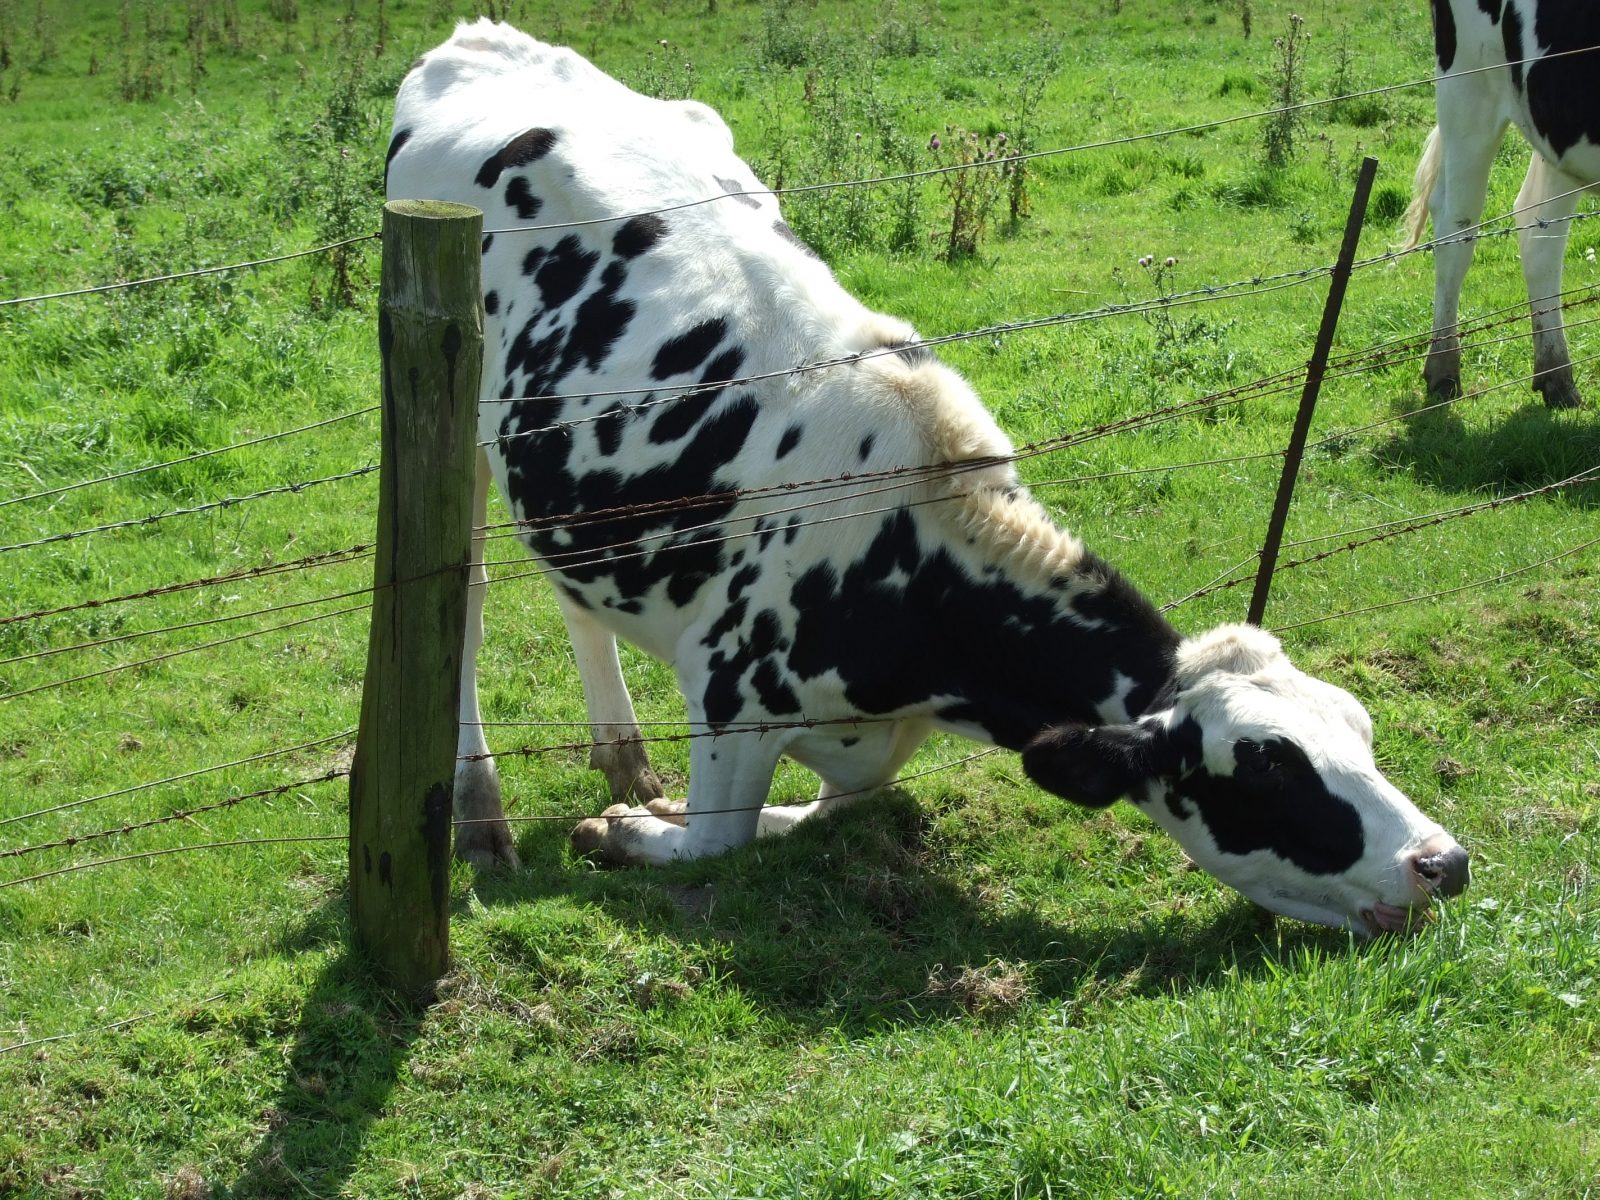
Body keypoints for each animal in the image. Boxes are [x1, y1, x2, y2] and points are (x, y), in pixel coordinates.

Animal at [384, 21, 1465, 940]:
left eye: (1362, 731)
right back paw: (481, 813)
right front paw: (619, 832)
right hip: (457, 416)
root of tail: (479, 37)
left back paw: (620, 754)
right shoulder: (730, 696)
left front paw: (646, 804)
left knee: (572, 592)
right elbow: (714, 841)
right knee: (462, 589)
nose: (1442, 861)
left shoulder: (862, 740)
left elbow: (834, 807)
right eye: (1269, 775)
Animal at [1414, 0, 1600, 409]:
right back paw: (1443, 370)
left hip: (1557, 130)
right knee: (1456, 228)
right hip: (1468, 90)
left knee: (1538, 232)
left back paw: (1556, 377)